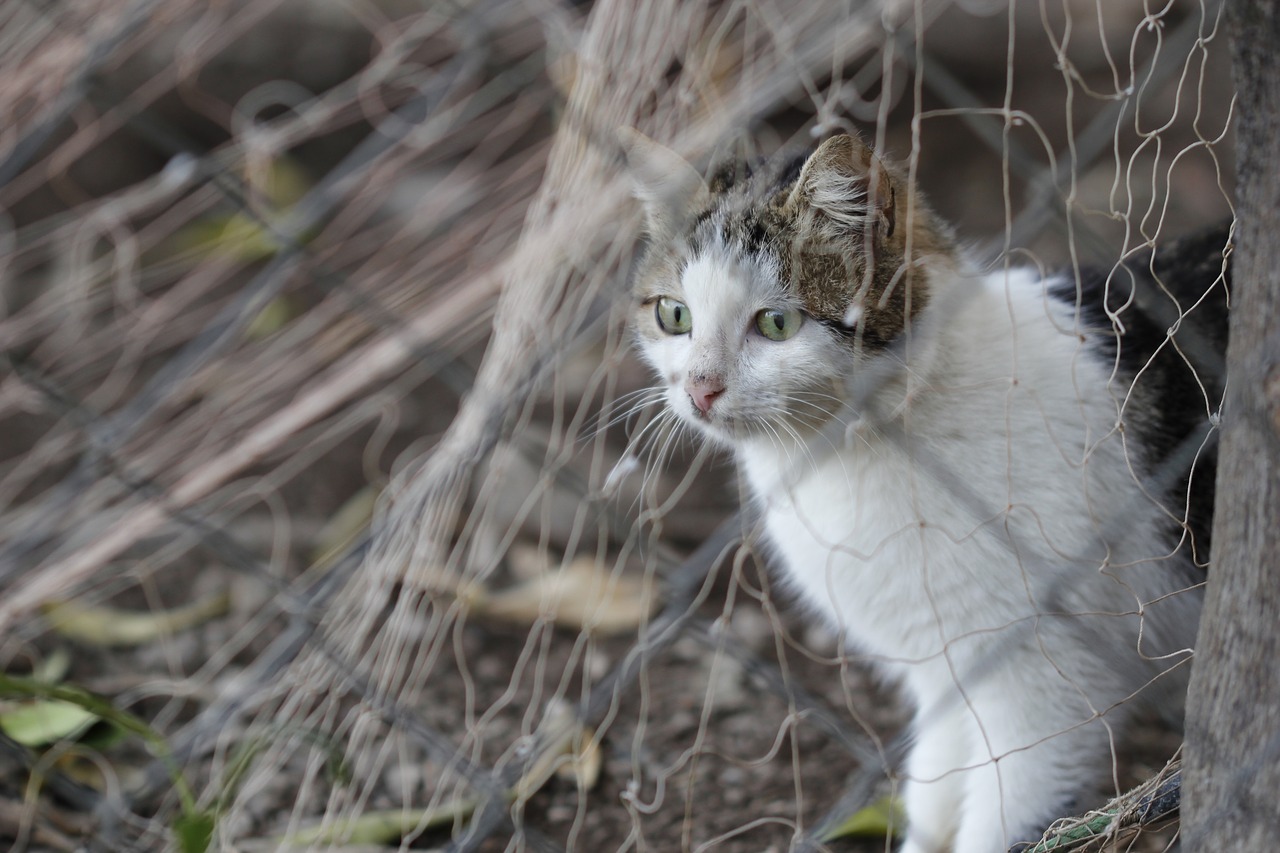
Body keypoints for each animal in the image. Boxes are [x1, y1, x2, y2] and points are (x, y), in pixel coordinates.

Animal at [622, 128, 1228, 850]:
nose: (700, 388)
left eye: (775, 325)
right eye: (673, 314)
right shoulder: (938, 672)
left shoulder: (1043, 692)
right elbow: (936, 782)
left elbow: (1000, 818)